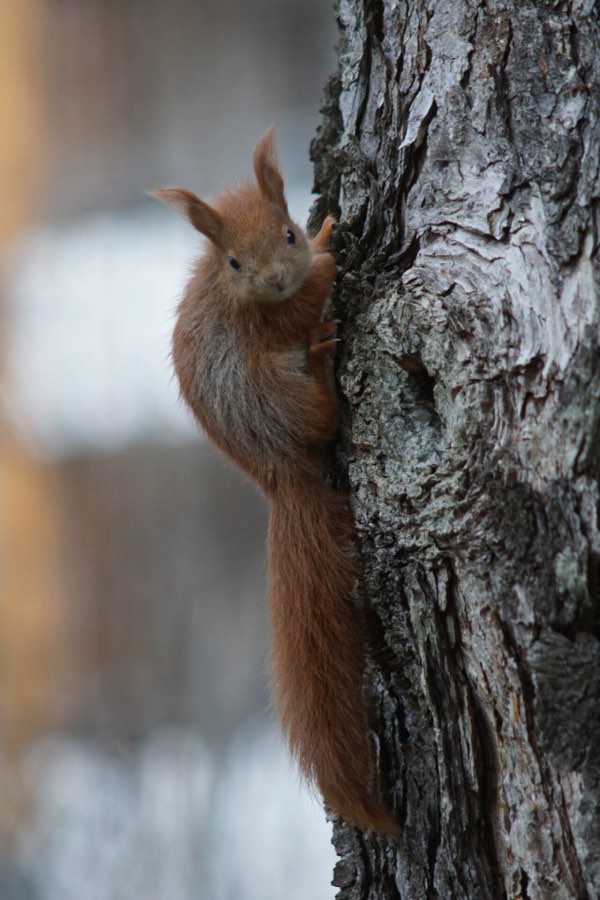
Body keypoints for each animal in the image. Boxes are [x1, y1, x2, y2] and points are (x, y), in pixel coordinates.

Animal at [154, 127, 397, 833]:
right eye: (233, 262)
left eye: (287, 231)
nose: (279, 275)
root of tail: (279, 477)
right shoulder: (269, 322)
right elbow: (309, 300)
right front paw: (334, 255)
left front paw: (328, 230)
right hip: (272, 392)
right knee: (320, 412)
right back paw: (319, 362)